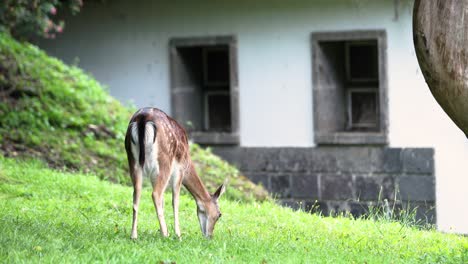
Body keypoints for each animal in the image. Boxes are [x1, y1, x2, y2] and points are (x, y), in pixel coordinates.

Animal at [124, 107, 227, 239]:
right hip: (164, 162)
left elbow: (163, 201)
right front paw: (177, 234)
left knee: (136, 195)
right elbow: (175, 201)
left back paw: (134, 235)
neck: (188, 163)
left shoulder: (153, 176)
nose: (209, 236)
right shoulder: (180, 170)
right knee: (155, 194)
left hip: (133, 161)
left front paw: (163, 230)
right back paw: (165, 234)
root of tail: (143, 119)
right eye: (219, 214)